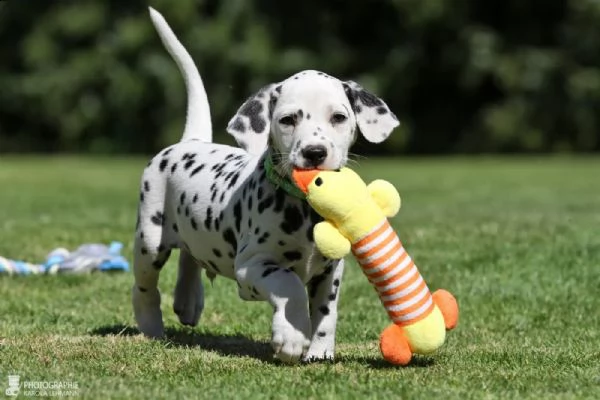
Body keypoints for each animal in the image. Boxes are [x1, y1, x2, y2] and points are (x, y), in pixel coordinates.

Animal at [134, 7, 400, 362]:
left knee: (191, 255)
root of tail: (190, 141)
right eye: (287, 120)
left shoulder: (330, 272)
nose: (315, 152)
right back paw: (150, 326)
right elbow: (289, 284)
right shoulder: (252, 266)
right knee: (145, 286)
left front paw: (319, 351)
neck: (303, 209)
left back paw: (188, 301)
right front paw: (291, 337)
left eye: (339, 118)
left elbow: (326, 312)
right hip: (150, 238)